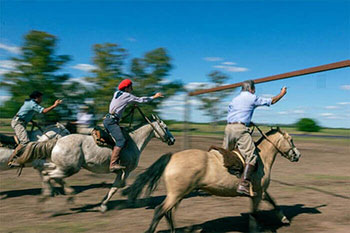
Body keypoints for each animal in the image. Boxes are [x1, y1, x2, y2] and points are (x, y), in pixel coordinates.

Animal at [37, 115, 175, 212]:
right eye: (166, 128)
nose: (172, 140)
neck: (134, 141)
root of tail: (57, 141)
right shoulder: (126, 170)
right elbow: (117, 187)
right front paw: (107, 204)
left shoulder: (120, 172)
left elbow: (115, 187)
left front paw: (102, 204)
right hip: (69, 168)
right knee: (50, 176)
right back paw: (51, 196)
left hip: (61, 167)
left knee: (47, 174)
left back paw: (60, 194)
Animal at [123, 127, 300, 233]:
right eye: (291, 140)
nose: (297, 155)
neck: (261, 158)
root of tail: (172, 157)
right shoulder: (257, 193)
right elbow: (255, 213)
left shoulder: (260, 192)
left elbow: (272, 203)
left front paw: (284, 218)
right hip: (176, 194)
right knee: (160, 211)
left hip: (178, 194)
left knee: (167, 212)